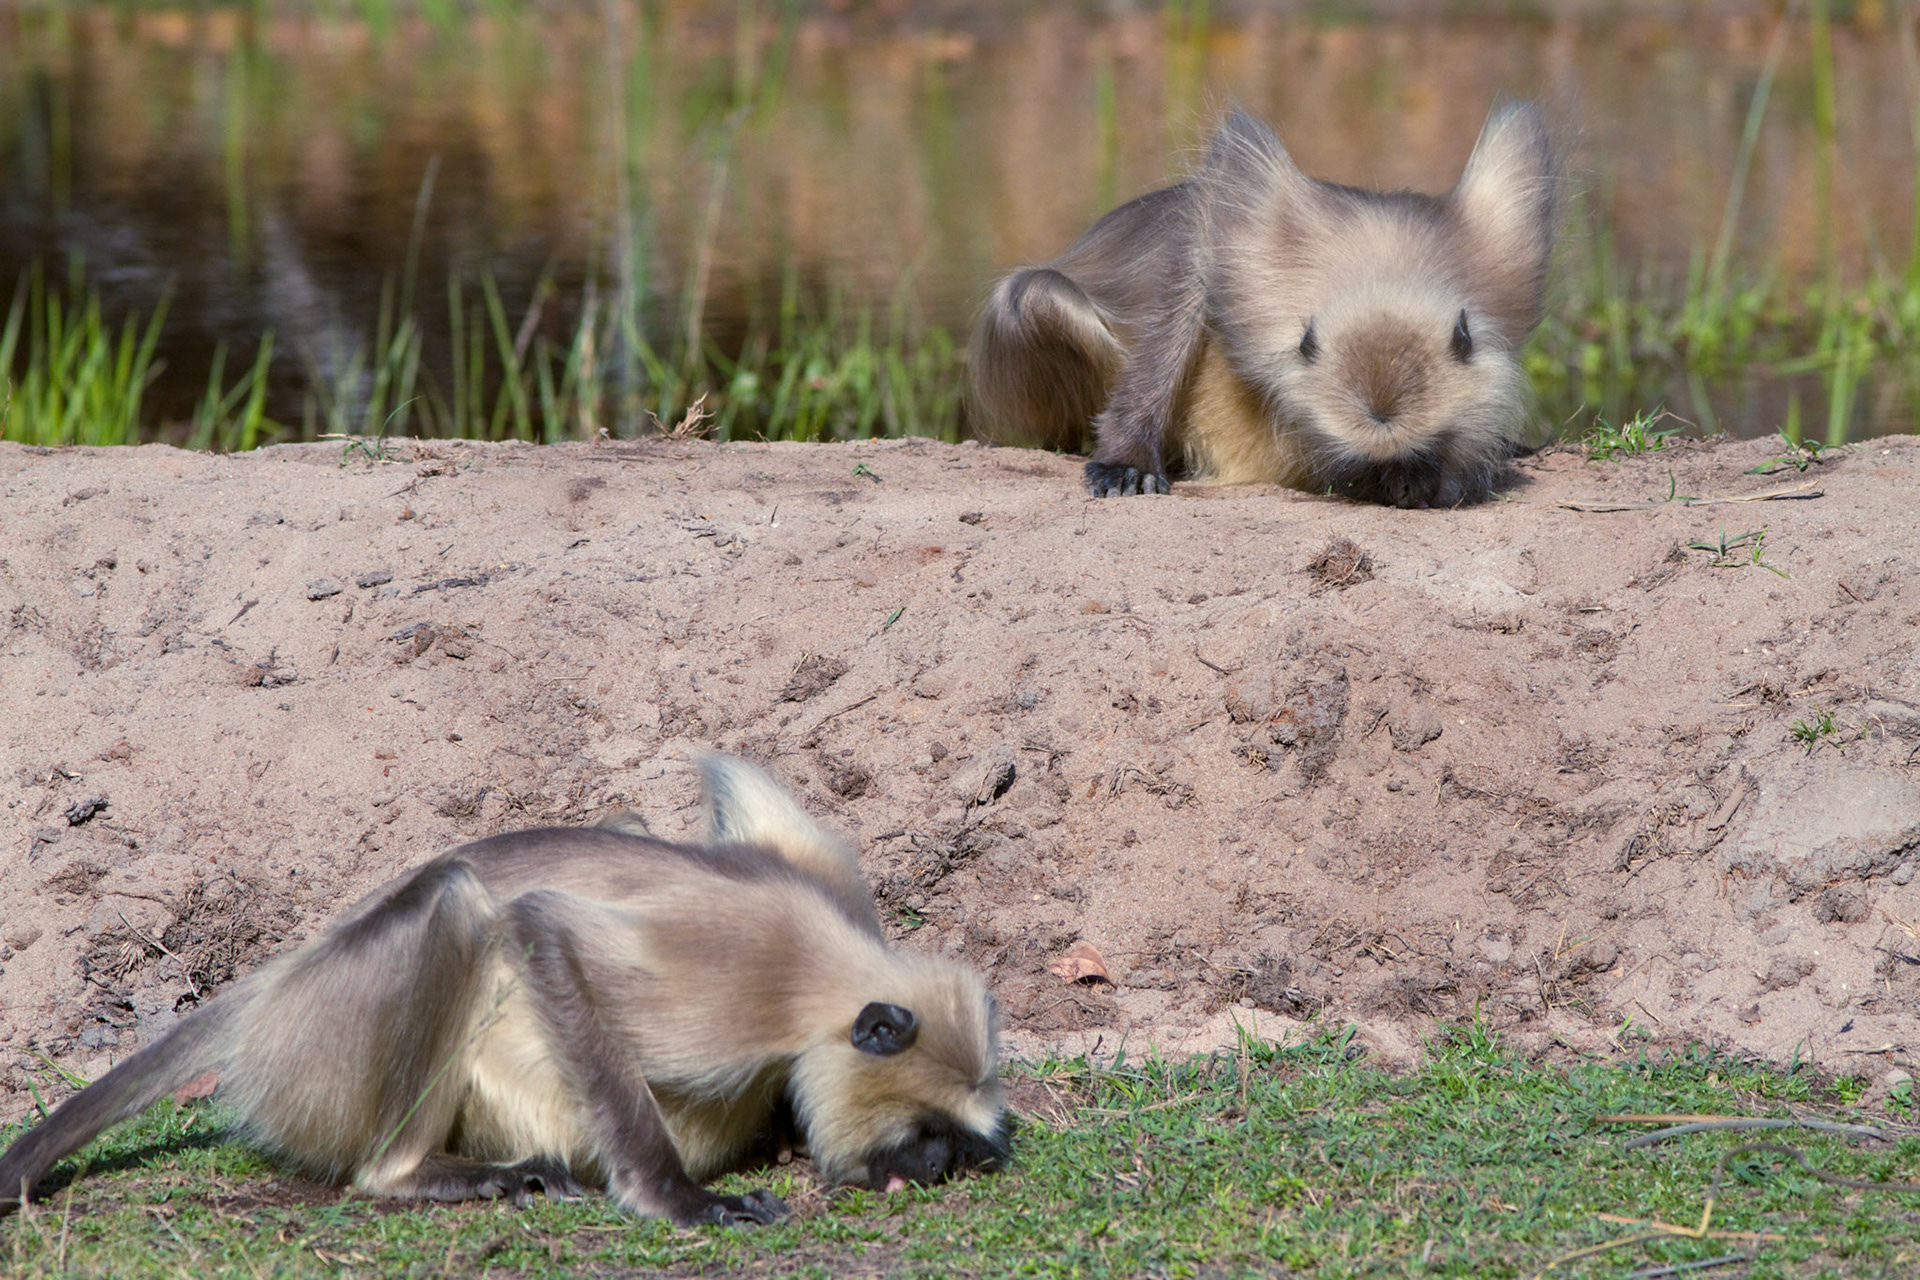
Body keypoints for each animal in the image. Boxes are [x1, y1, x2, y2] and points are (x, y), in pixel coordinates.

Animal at [0, 757, 1007, 1226]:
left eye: (955, 1144)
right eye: (930, 1133)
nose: (936, 1169)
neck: (828, 967)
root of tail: (274, 987)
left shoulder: (820, 867)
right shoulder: (740, 994)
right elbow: (542, 928)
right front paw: (675, 1197)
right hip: (325, 1044)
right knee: (460, 903)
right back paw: (412, 1173)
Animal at [970, 101, 1558, 508]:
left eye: (1416, 453)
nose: (1387, 480)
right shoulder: (1215, 234)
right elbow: (1177, 299)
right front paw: (1126, 458)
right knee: (1030, 295)